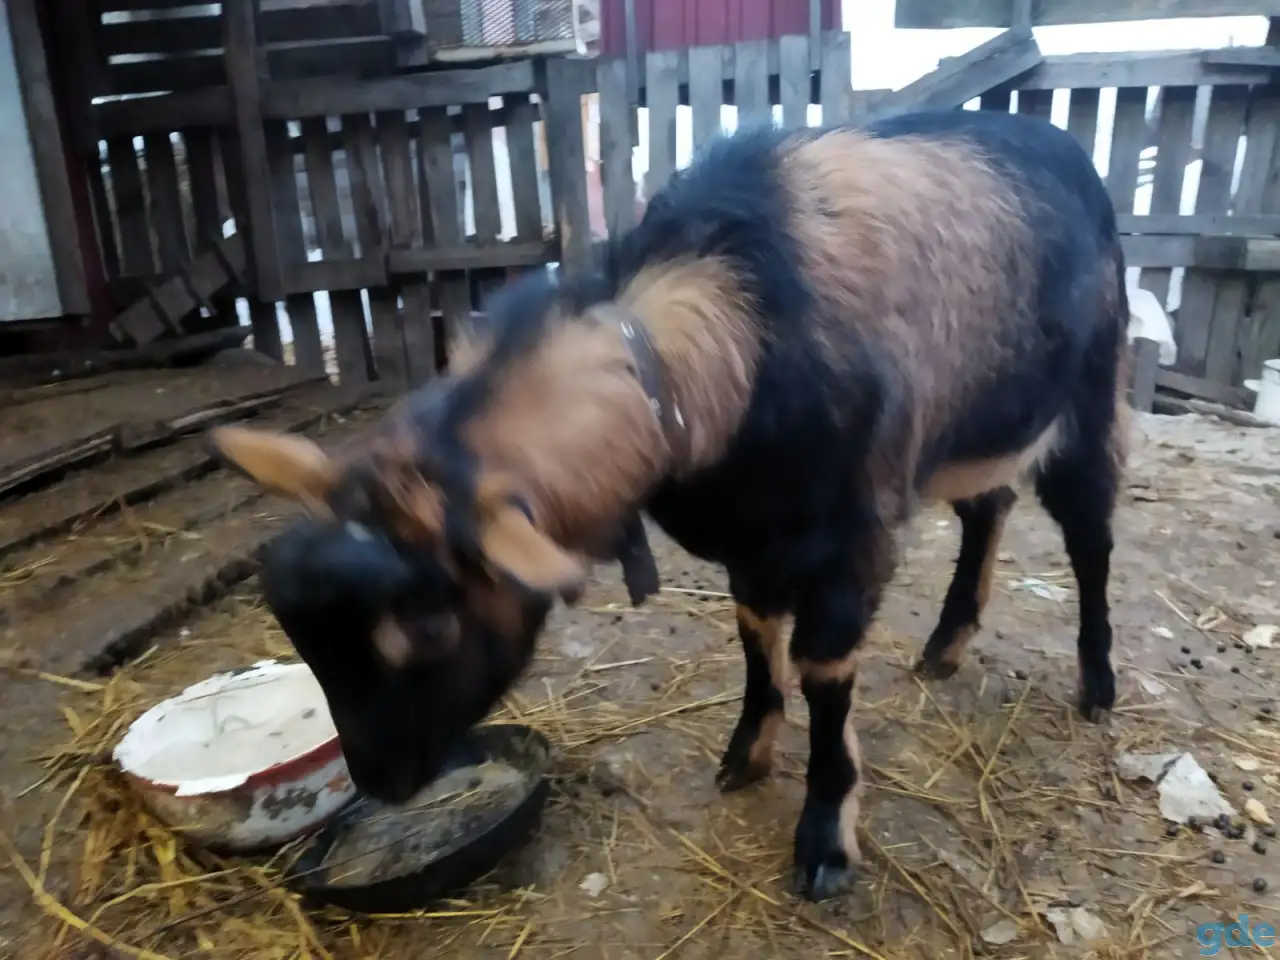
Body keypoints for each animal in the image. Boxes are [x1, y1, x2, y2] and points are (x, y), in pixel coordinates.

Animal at [209, 108, 1129, 903]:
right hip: (979, 421)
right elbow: (756, 639)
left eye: (429, 627)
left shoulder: (848, 538)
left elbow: (823, 673)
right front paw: (746, 753)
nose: (380, 778)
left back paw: (1097, 681)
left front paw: (826, 839)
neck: (731, 329)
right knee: (989, 506)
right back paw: (946, 642)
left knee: (1089, 535)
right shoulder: (756, 537)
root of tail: (1060, 142)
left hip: (1088, 396)